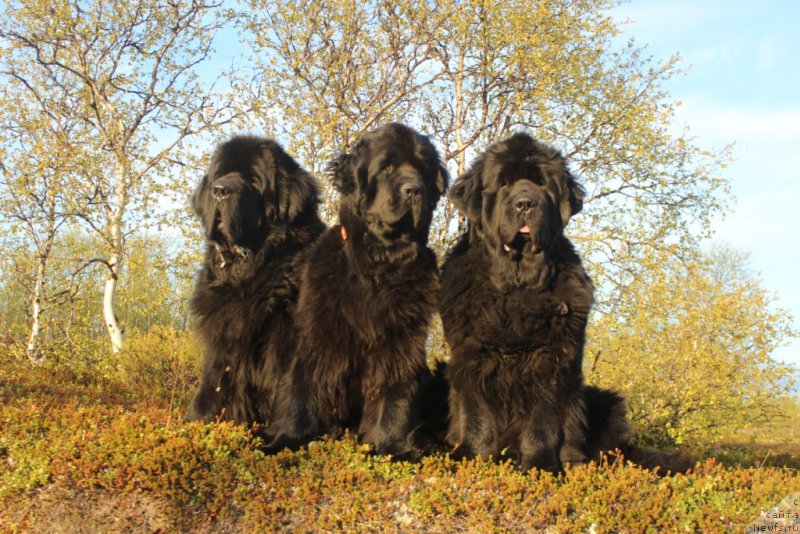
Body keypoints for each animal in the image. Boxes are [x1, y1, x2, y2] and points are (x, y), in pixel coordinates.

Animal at [186, 136, 324, 430]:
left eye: (254, 180)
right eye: (220, 174)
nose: (219, 191)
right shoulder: (222, 339)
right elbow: (212, 385)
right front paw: (196, 421)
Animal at [268, 123, 444, 458]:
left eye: (422, 170)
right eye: (387, 168)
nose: (415, 190)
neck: (378, 264)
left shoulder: (401, 342)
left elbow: (395, 394)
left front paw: (390, 446)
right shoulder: (318, 333)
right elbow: (302, 390)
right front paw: (287, 440)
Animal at [438, 134, 632, 474]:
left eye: (542, 185)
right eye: (503, 184)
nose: (526, 204)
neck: (516, 286)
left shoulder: (549, 359)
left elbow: (542, 422)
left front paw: (540, 466)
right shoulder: (472, 356)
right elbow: (476, 417)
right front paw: (472, 459)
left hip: (606, 402)